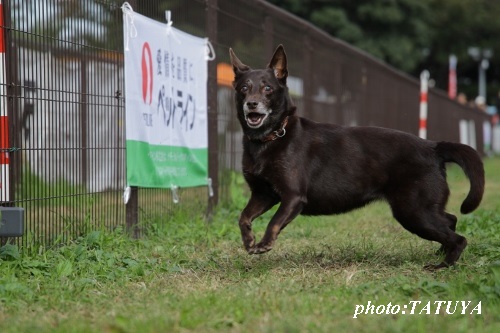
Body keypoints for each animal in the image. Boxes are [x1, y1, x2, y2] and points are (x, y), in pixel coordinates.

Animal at [229, 44, 484, 268]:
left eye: (267, 88)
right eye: (244, 88)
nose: (252, 104)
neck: (270, 138)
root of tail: (433, 147)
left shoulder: (292, 197)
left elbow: (274, 222)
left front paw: (264, 243)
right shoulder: (264, 194)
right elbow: (243, 217)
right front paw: (249, 241)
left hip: (414, 212)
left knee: (459, 237)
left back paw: (443, 265)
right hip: (422, 210)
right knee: (451, 220)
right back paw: (440, 253)